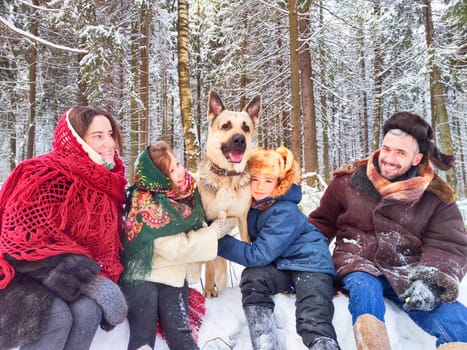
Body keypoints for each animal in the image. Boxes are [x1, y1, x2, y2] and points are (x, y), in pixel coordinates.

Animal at [197, 90, 262, 298]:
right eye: (226, 126)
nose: (239, 140)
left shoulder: (242, 219)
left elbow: (247, 246)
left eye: (246, 127)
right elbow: (210, 263)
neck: (226, 176)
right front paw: (209, 290)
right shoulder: (210, 221)